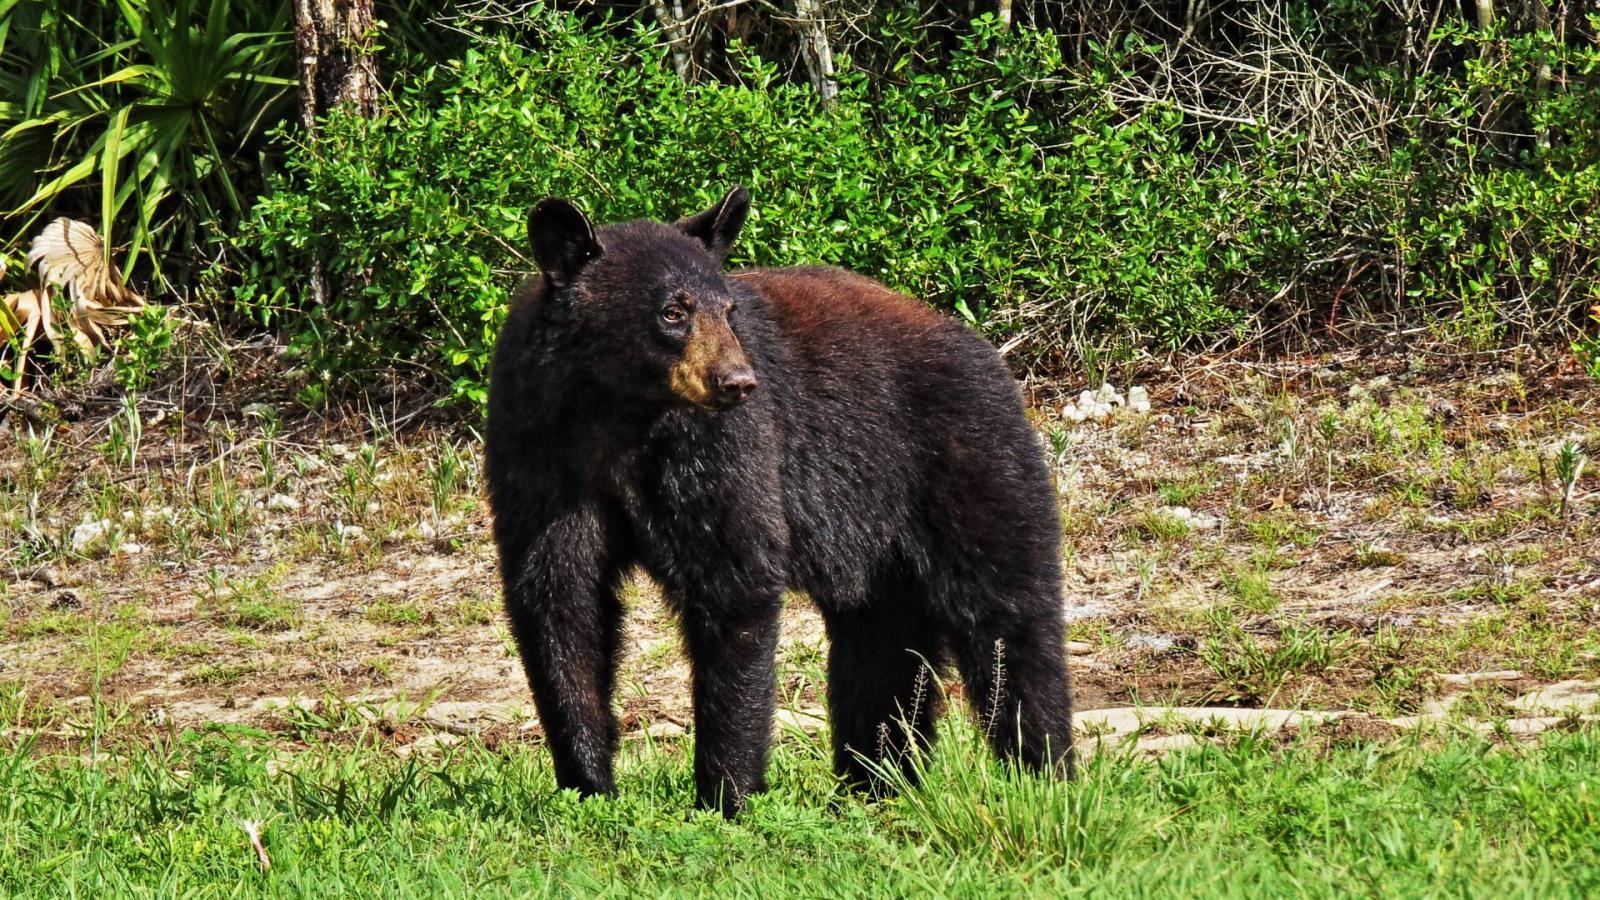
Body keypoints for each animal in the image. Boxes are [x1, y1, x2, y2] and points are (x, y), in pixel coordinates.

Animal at [480, 185, 1068, 810]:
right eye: (673, 311)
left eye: (729, 310)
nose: (737, 381)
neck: (617, 412)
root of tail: (986, 354)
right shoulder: (539, 450)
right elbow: (559, 596)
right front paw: (589, 785)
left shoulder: (719, 449)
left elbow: (734, 580)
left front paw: (725, 795)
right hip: (882, 545)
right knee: (880, 644)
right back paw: (875, 782)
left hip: (965, 461)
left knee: (1006, 614)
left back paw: (1042, 769)